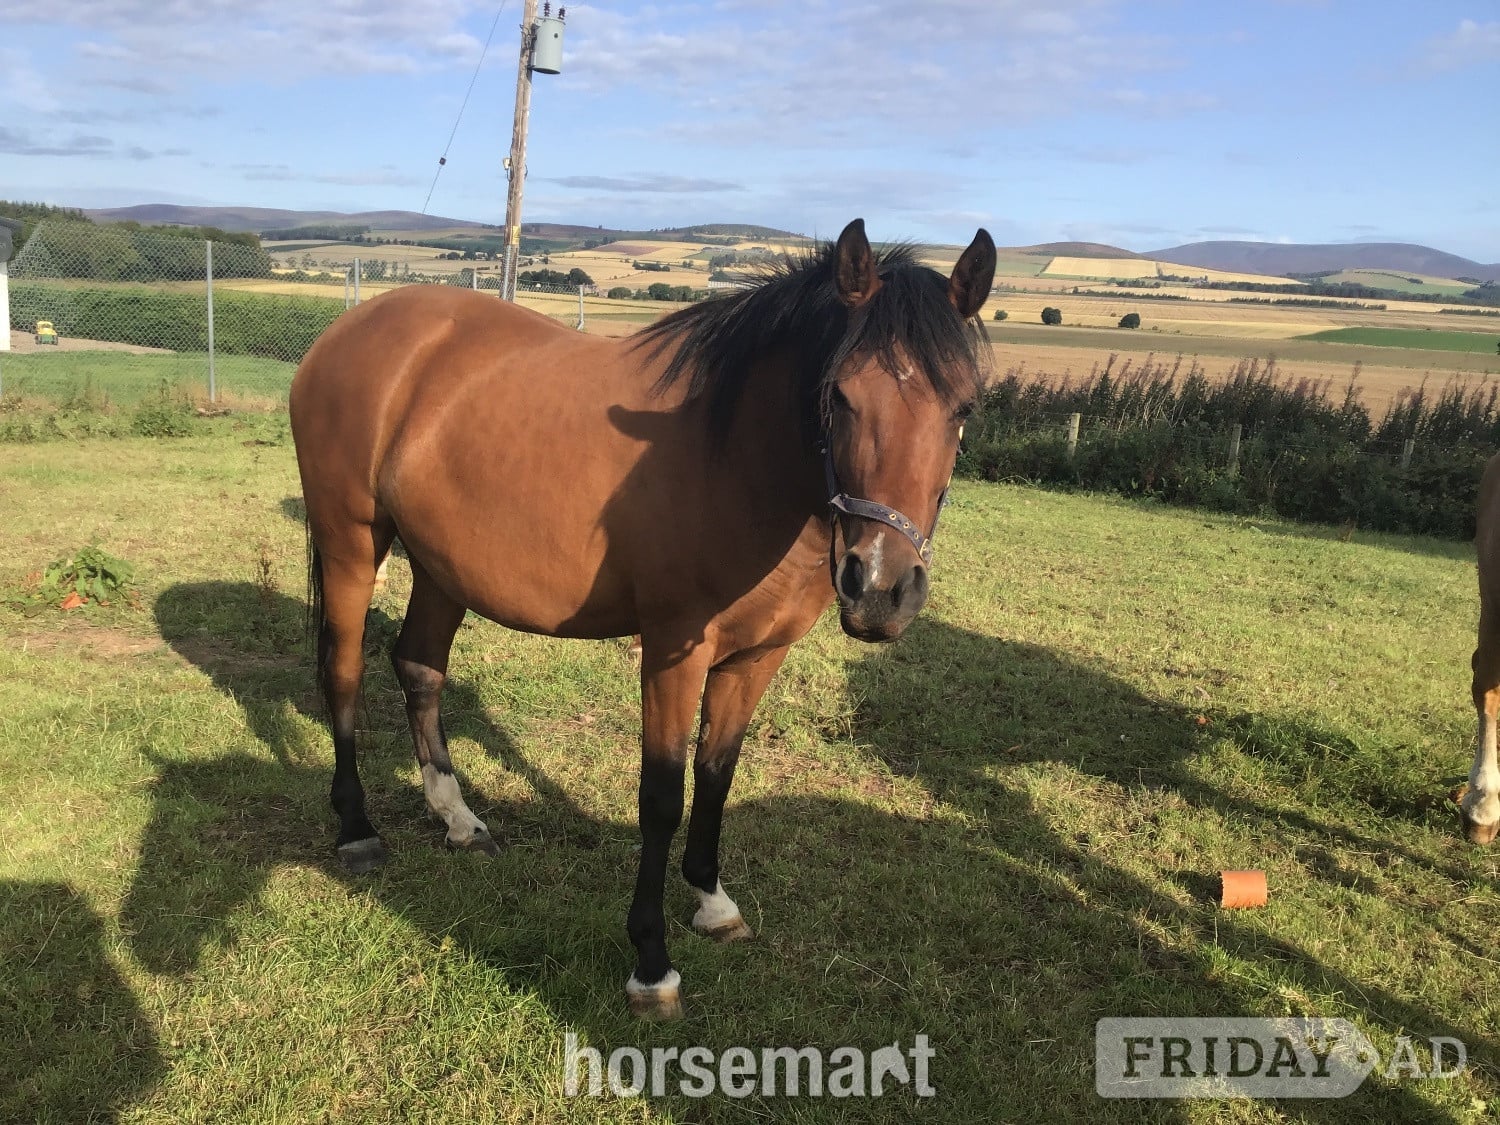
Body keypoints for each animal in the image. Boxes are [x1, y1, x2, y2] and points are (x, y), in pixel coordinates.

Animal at [289, 218, 996, 1018]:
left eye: (964, 409)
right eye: (839, 396)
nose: (880, 588)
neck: (735, 455)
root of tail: (349, 328)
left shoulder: (755, 658)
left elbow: (717, 775)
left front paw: (714, 902)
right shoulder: (671, 652)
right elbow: (661, 796)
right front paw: (652, 963)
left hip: (443, 567)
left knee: (418, 668)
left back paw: (460, 821)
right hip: (351, 542)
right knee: (343, 670)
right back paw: (356, 829)